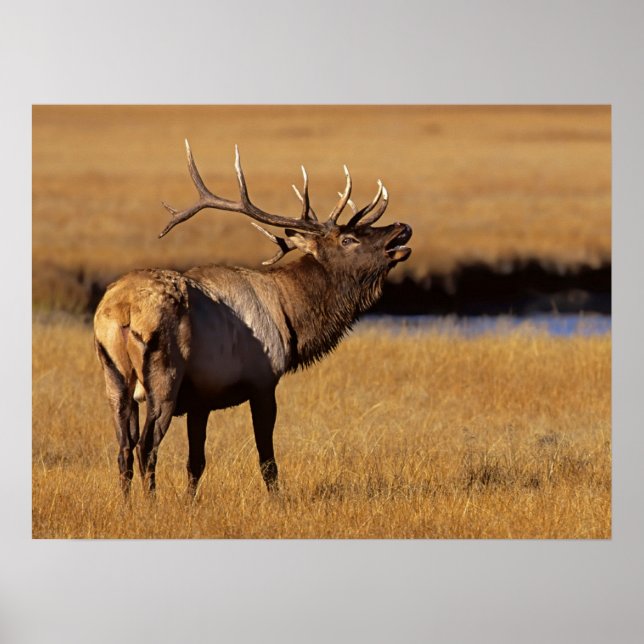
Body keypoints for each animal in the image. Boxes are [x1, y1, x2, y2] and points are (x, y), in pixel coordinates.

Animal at [93, 140, 412, 496]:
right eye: (348, 239)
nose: (401, 227)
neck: (290, 318)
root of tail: (122, 311)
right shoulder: (263, 382)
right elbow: (267, 461)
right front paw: (277, 501)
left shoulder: (201, 399)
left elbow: (195, 463)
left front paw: (189, 502)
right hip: (163, 377)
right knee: (146, 447)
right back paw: (151, 503)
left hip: (113, 378)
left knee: (123, 449)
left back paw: (128, 502)